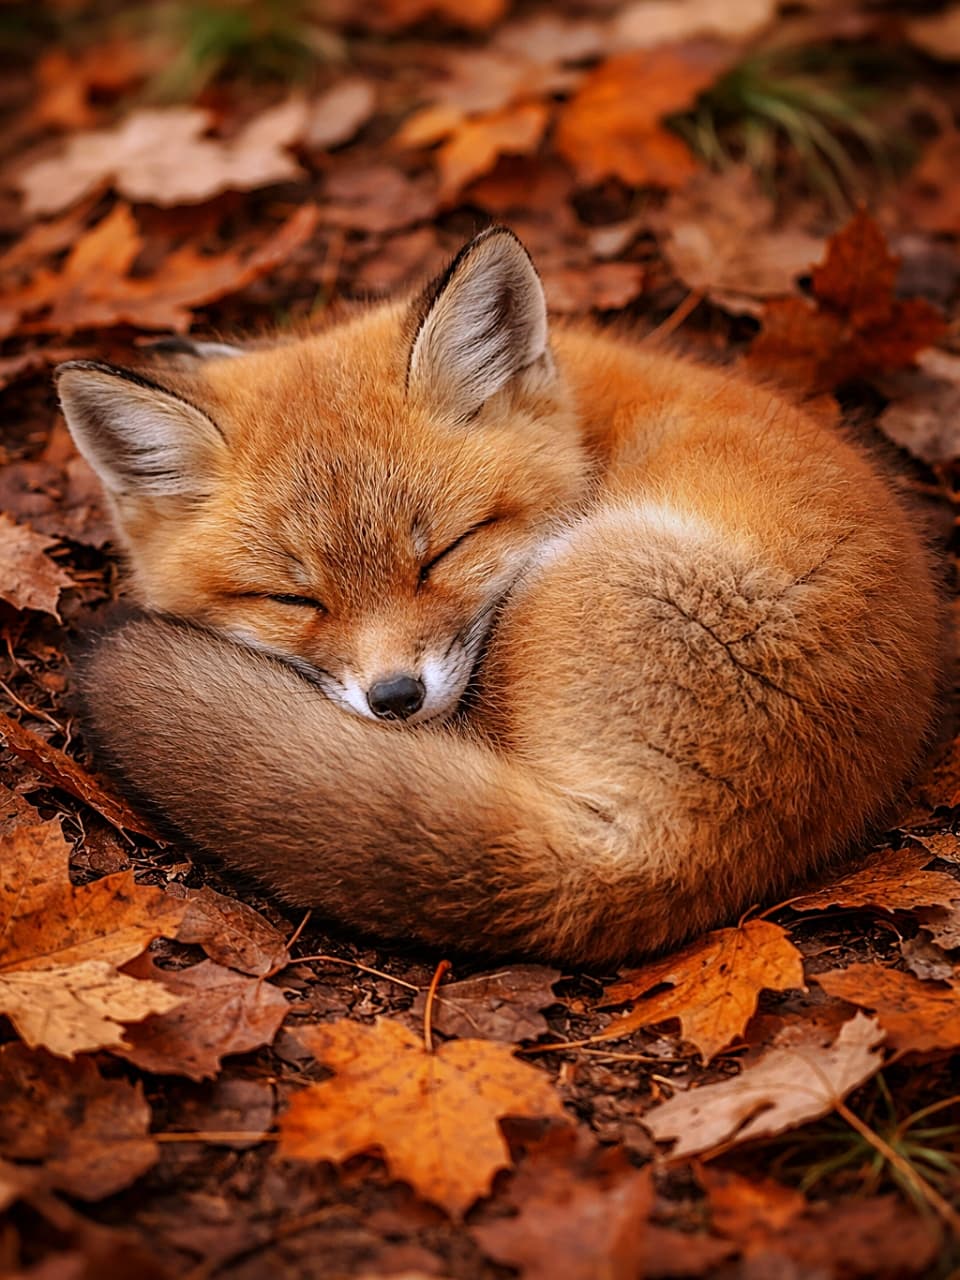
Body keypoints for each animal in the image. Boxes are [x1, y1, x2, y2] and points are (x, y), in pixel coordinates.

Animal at [57, 226, 942, 966]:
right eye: (293, 600)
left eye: (444, 553)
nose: (396, 699)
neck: (582, 420)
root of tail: (670, 852)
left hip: (566, 579)